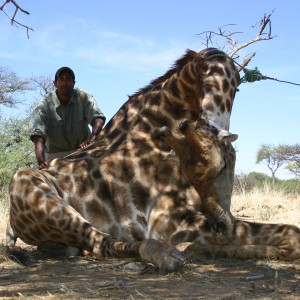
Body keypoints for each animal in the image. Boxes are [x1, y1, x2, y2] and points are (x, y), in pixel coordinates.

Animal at [6, 47, 241, 274]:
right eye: (222, 165)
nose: (221, 228)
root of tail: (11, 224)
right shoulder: (165, 221)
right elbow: (246, 229)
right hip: (39, 196)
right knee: (101, 243)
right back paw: (166, 256)